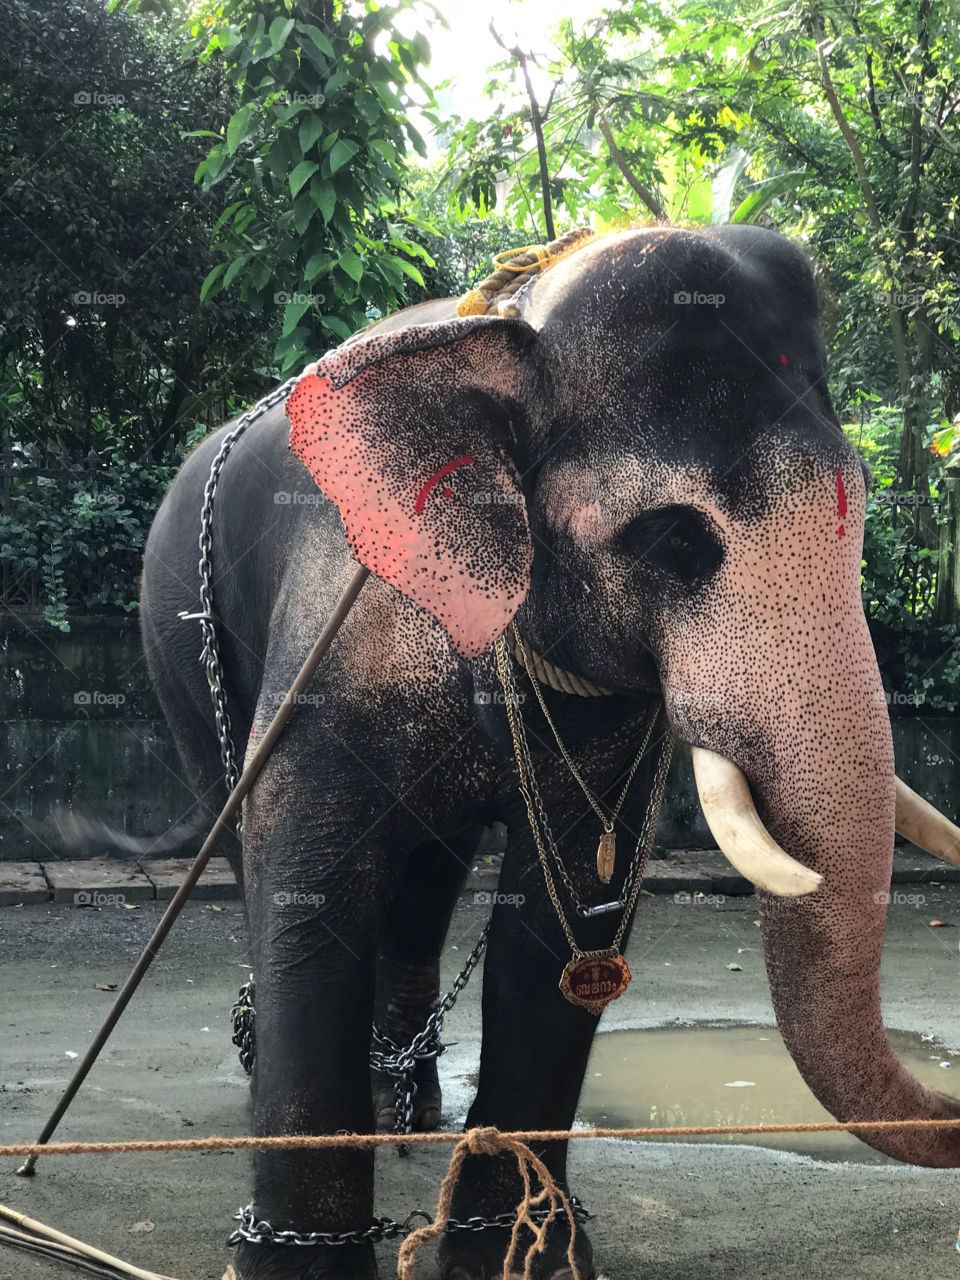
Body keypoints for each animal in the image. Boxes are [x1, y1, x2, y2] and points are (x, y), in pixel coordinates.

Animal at [132, 224, 960, 1280]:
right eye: (674, 540)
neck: (520, 328)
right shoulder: (334, 638)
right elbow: (308, 882)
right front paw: (295, 1265)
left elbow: (563, 908)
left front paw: (522, 1251)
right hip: (174, 642)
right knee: (244, 836)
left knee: (428, 877)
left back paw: (409, 1109)